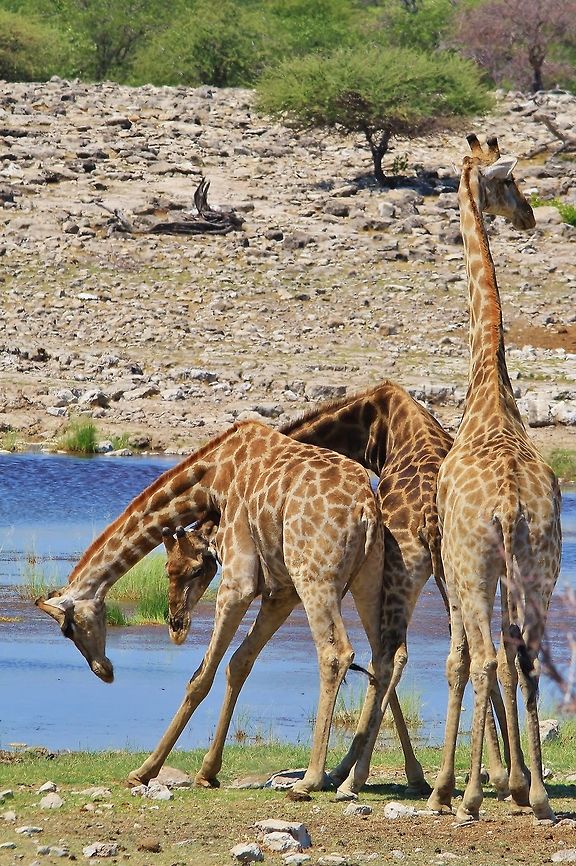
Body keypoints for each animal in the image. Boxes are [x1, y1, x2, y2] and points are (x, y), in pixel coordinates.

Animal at [36, 419, 404, 800]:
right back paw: (351, 778)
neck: (213, 478)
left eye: (67, 629)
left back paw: (311, 779)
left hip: (315, 577)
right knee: (384, 657)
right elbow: (238, 664)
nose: (103, 671)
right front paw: (207, 771)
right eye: (170, 569)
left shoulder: (239, 583)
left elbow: (202, 676)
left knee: (334, 654)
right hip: (368, 578)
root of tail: (365, 510)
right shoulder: (281, 591)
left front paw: (143, 771)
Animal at [158, 383, 511, 800]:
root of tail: (430, 516)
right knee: (473, 653)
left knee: (395, 654)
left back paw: (345, 774)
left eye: (187, 569)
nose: (176, 623)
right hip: (455, 573)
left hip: (408, 569)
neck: (371, 425)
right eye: (171, 570)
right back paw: (501, 774)